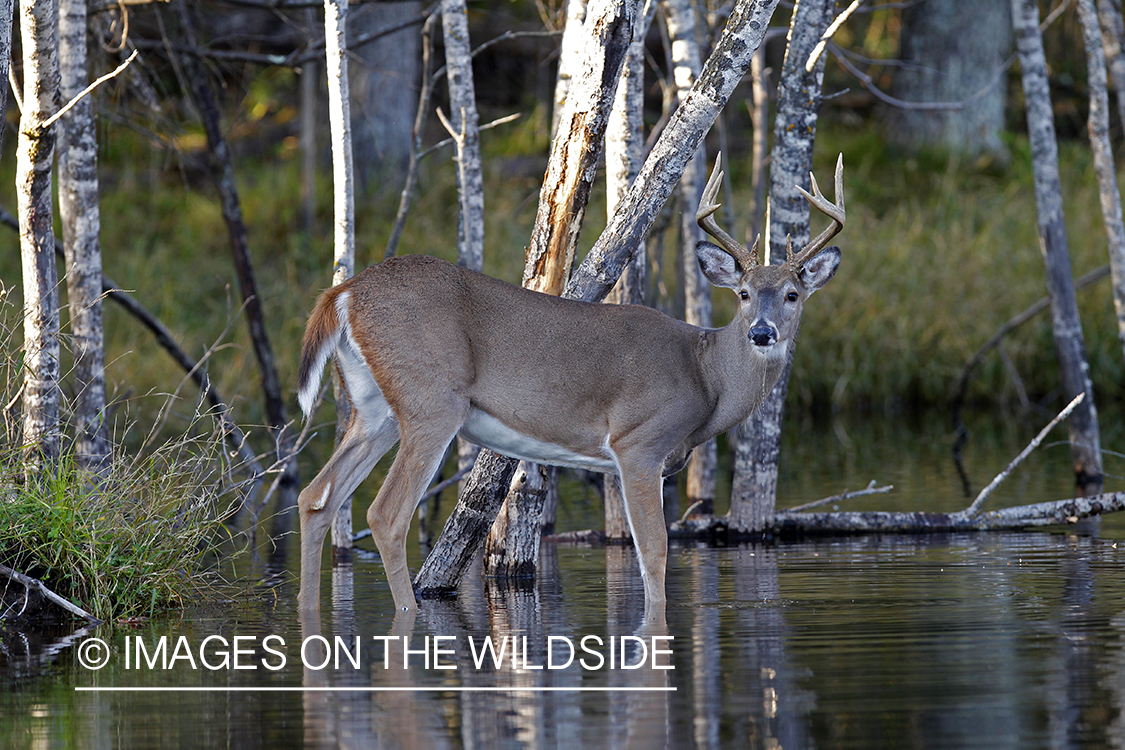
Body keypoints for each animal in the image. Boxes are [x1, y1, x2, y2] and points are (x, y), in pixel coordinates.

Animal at [297, 152, 846, 620]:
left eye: (793, 294)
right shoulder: (638, 443)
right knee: (385, 515)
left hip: (375, 409)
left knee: (315, 496)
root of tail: (344, 292)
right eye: (744, 293)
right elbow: (654, 555)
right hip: (431, 402)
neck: (705, 376)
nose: (762, 333)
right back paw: (408, 612)